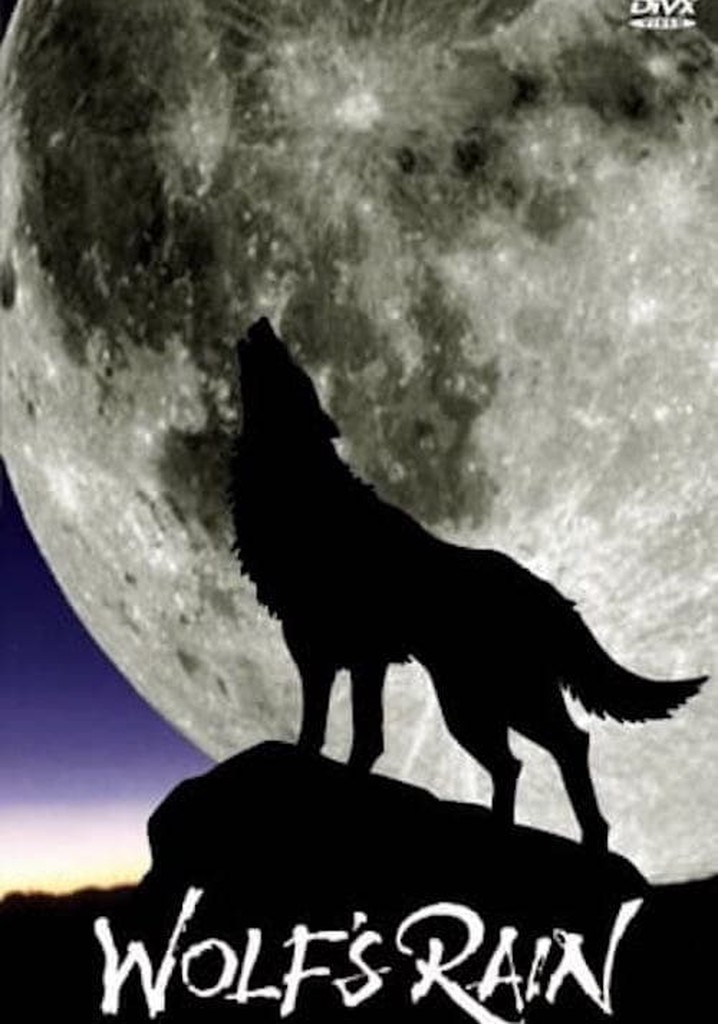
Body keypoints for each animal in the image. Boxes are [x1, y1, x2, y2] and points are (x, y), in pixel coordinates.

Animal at [229, 317, 706, 849]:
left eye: (292, 372)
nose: (263, 323)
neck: (303, 491)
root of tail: (548, 591)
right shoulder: (331, 655)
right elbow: (336, 733)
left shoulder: (348, 656)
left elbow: (349, 735)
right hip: (477, 707)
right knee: (517, 763)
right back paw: (505, 828)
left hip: (492, 701)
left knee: (566, 745)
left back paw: (583, 838)